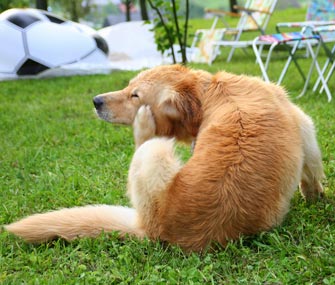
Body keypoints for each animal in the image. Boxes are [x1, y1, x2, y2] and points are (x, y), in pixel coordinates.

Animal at [5, 64, 326, 251]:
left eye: (135, 95)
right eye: (126, 86)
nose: (95, 101)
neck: (206, 92)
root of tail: (152, 229)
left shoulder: (304, 122)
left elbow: (311, 167)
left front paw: (314, 197)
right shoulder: (302, 123)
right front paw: (317, 197)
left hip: (155, 150)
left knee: (144, 143)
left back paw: (143, 125)